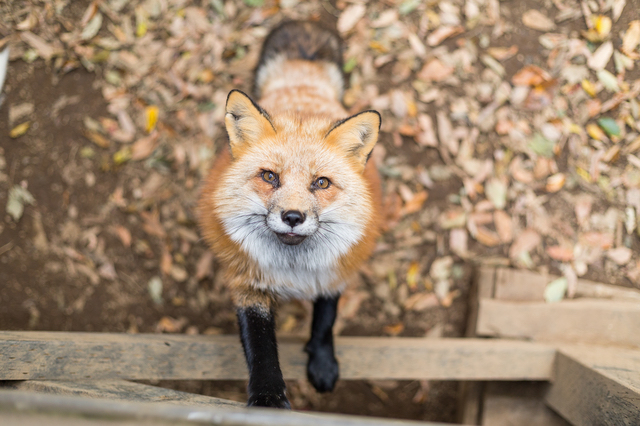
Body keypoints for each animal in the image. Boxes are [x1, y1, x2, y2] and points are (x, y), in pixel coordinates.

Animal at [198, 20, 382, 410]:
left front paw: (323, 364)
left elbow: (325, 321)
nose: (293, 217)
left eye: (321, 182)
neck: (293, 270)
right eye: (270, 177)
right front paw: (268, 397)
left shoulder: (335, 271)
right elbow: (261, 347)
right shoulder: (248, 285)